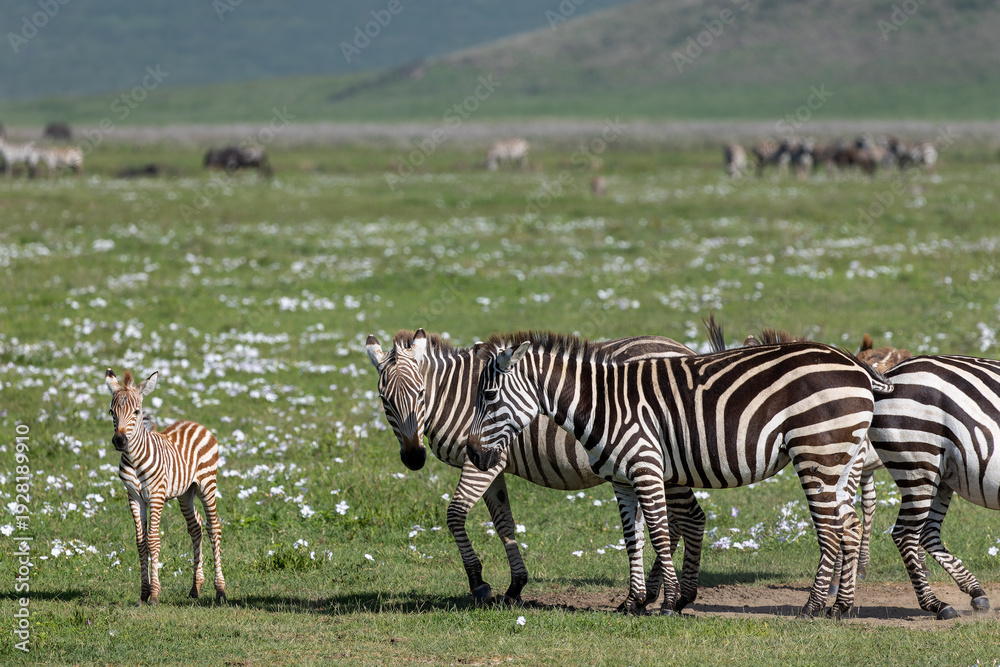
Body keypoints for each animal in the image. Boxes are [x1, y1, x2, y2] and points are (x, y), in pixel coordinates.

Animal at [105, 369, 226, 605]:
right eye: (111, 411)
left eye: (137, 412)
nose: (119, 441)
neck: (135, 459)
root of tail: (195, 423)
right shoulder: (134, 497)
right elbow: (141, 543)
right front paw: (143, 594)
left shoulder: (156, 495)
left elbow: (152, 540)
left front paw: (154, 595)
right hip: (186, 493)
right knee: (196, 527)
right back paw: (195, 588)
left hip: (207, 484)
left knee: (213, 528)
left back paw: (220, 590)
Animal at [366, 329, 697, 604]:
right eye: (383, 399)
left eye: (420, 394)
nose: (413, 458)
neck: (455, 397)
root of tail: (685, 349)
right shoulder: (490, 461)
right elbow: (504, 523)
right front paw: (515, 586)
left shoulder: (482, 463)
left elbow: (455, 514)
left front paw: (478, 583)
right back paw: (655, 592)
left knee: (678, 522)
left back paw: (662, 594)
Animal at [466, 332, 893, 618]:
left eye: (488, 396)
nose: (472, 452)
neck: (602, 404)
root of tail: (855, 363)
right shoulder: (622, 479)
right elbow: (633, 539)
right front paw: (632, 601)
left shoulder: (646, 466)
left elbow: (658, 533)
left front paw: (669, 602)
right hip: (839, 460)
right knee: (851, 526)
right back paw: (841, 607)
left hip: (816, 454)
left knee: (831, 531)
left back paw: (812, 606)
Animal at [868, 354, 1000, 619]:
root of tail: (890, 376)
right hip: (919, 463)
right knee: (905, 534)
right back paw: (936, 604)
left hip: (942, 475)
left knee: (928, 531)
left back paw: (976, 592)